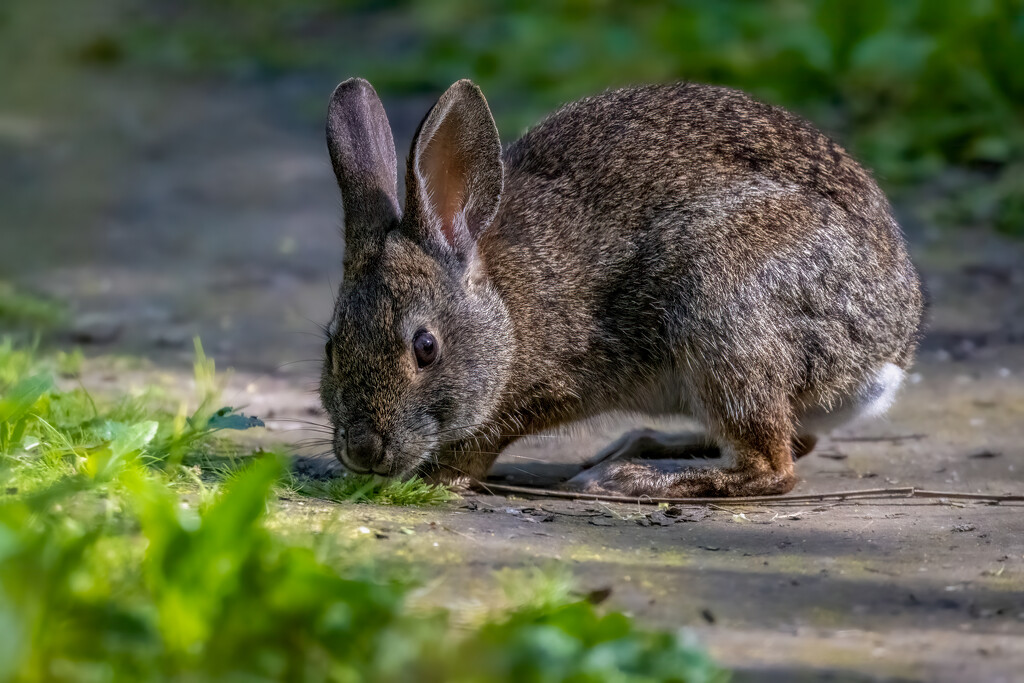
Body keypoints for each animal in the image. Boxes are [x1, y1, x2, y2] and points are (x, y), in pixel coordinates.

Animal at [321, 77, 929, 499]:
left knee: (773, 467)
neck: (505, 308)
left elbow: (483, 440)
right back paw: (641, 447)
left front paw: (437, 480)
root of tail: (887, 354)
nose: (363, 450)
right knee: (796, 442)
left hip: (724, 309)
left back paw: (632, 478)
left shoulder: (558, 383)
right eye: (331, 346)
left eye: (425, 348)